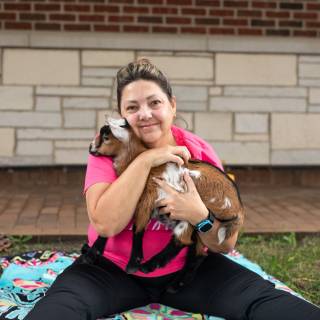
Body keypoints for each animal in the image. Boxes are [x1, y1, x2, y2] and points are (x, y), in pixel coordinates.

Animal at [89, 117, 244, 255]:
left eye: (106, 137)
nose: (90, 147)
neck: (133, 158)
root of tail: (239, 209)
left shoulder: (146, 199)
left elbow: (138, 228)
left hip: (195, 205)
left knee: (183, 240)